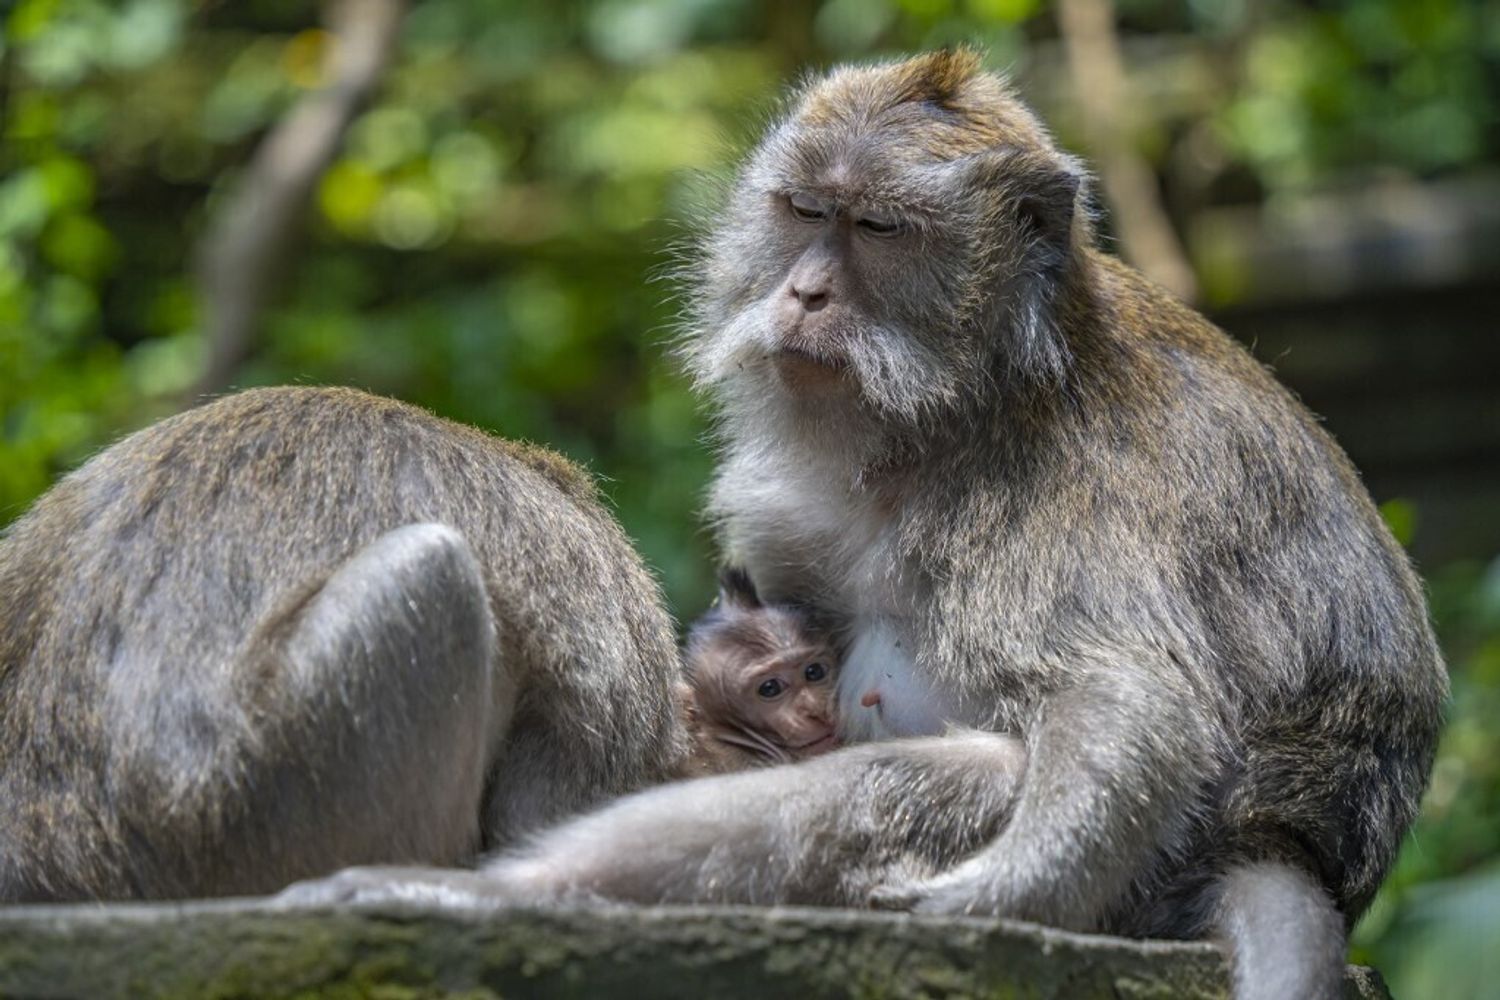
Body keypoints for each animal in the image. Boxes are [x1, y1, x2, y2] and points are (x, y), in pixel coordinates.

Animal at [281, 51, 1447, 1000]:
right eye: (805, 210)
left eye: (878, 228)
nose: (803, 292)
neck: (960, 409)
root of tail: (1291, 843)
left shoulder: (1081, 488)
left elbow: (1131, 700)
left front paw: (1004, 894)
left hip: (1161, 870)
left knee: (934, 783)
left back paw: (490, 896)